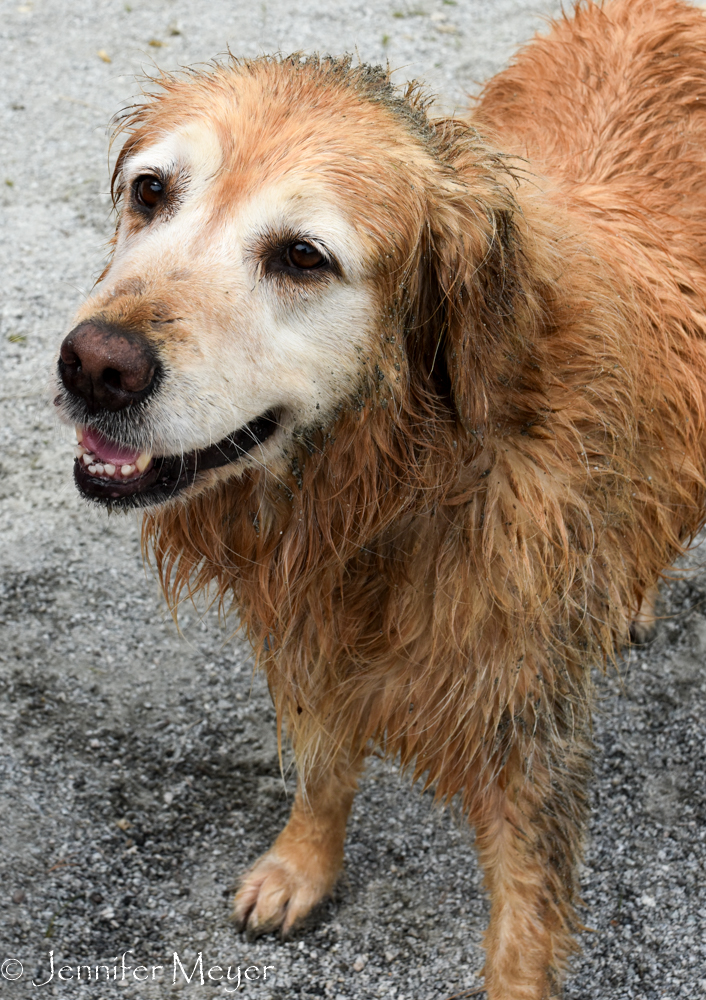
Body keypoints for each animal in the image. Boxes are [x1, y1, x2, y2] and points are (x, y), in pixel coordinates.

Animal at [53, 3, 704, 996]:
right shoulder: (308, 628)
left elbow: (524, 915)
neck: (399, 485)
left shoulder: (526, 723)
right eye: (152, 191)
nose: (95, 365)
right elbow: (323, 765)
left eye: (302, 256)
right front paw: (301, 867)